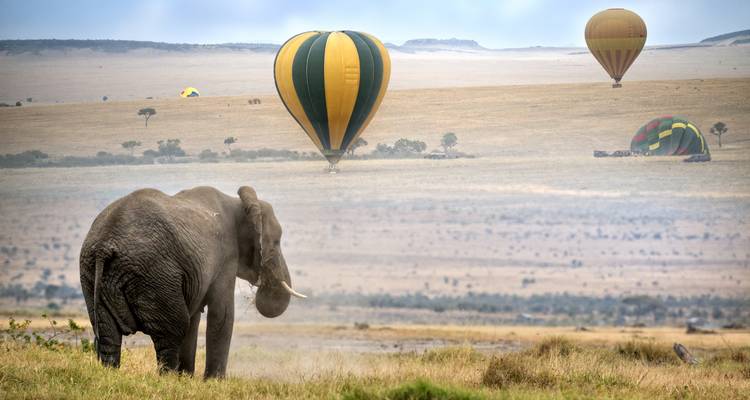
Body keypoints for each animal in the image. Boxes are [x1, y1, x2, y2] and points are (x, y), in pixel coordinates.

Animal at [79, 186, 306, 378]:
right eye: (276, 242)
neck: (239, 203)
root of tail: (104, 246)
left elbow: (195, 317)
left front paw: (187, 378)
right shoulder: (225, 256)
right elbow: (222, 314)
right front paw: (213, 382)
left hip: (92, 275)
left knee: (108, 334)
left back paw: (111, 374)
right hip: (154, 274)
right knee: (173, 329)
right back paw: (167, 379)